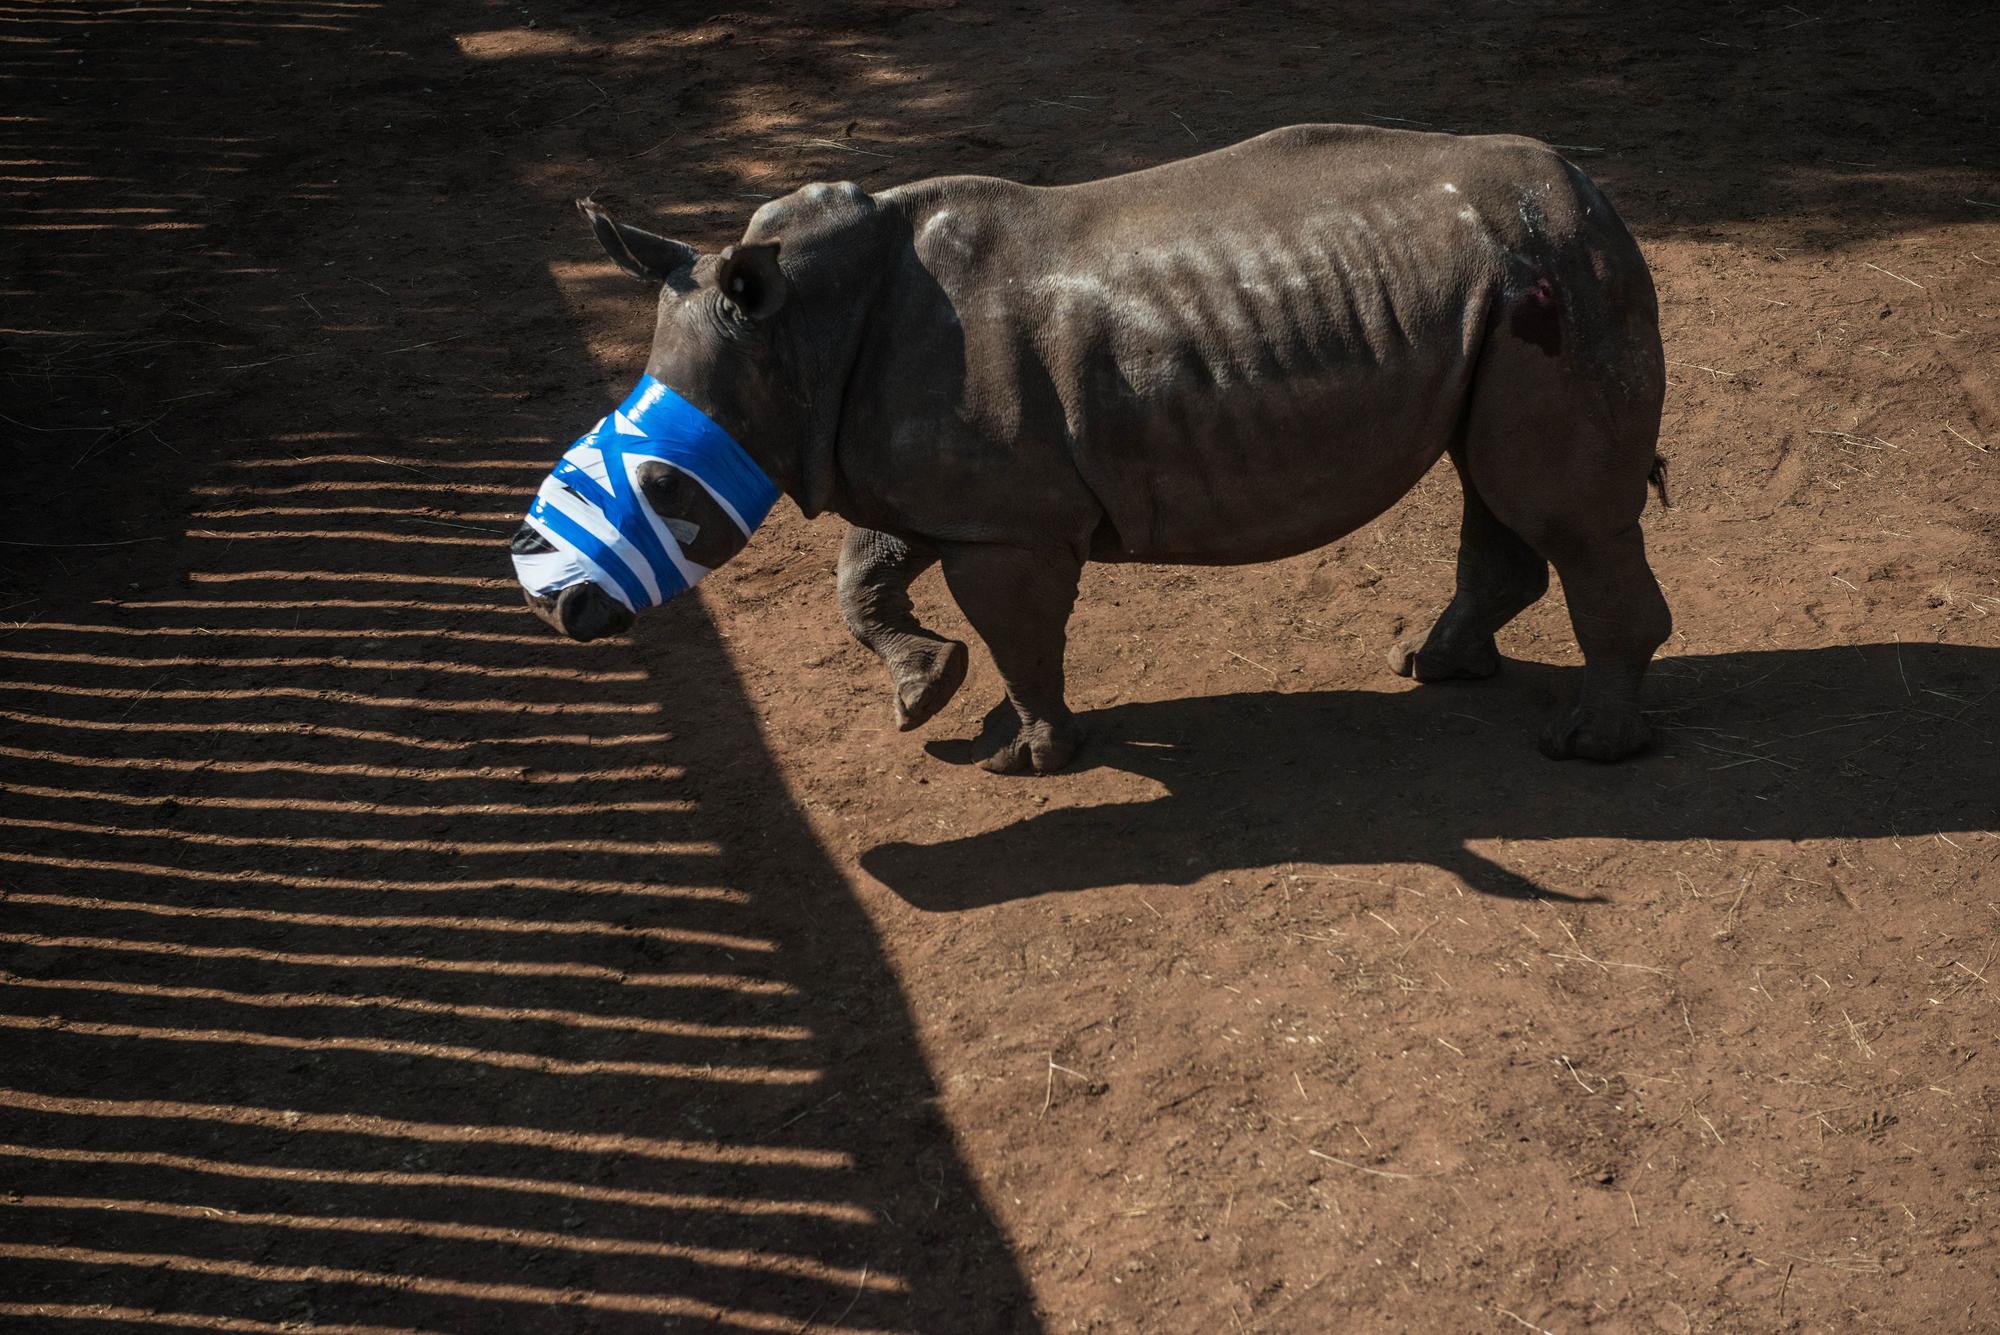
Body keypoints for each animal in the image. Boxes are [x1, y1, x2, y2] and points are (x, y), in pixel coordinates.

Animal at [514, 124, 1672, 774]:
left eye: (663, 485)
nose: (558, 611)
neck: (794, 334)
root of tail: (1596, 194)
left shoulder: (1002, 522)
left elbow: (1018, 632)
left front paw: (1025, 759)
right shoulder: (935, 485)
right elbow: (862, 574)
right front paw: (925, 695)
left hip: (1560, 268)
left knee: (1558, 509)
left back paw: (1585, 751)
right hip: (1509, 286)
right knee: (1500, 490)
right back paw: (1430, 668)